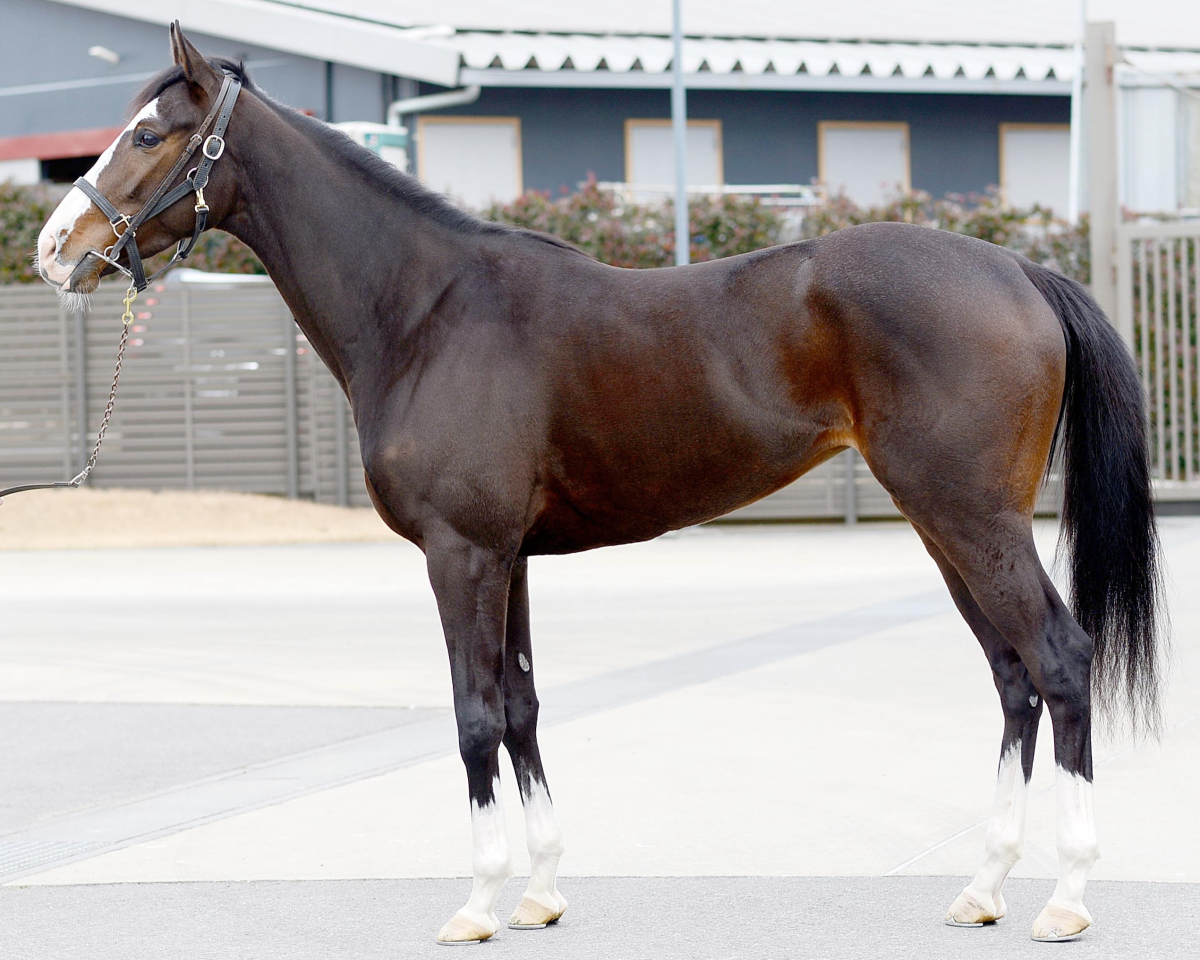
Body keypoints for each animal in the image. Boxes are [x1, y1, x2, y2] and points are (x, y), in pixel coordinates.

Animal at [34, 24, 1163, 945]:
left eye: (146, 134)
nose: (53, 250)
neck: (429, 309)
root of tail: (1019, 272)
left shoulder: (462, 556)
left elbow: (475, 716)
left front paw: (477, 903)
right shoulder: (511, 559)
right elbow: (523, 709)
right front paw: (538, 894)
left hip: (976, 522)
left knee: (1061, 661)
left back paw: (1066, 899)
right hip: (944, 525)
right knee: (1013, 678)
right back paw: (984, 887)